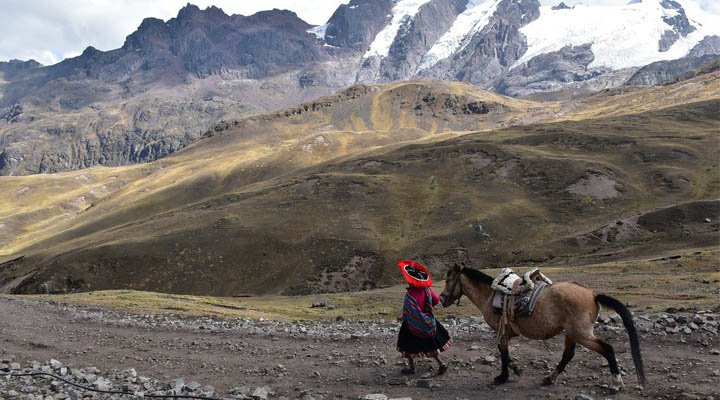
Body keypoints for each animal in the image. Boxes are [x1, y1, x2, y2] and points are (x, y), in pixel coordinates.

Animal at [438, 264, 648, 392]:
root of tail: (593, 294)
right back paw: (550, 378)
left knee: (607, 349)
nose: (441, 299)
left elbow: (503, 352)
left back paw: (616, 383)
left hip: (581, 334)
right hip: (571, 333)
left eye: (448, 279)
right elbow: (505, 353)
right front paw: (516, 370)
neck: (489, 295)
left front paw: (503, 376)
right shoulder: (506, 333)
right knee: (568, 354)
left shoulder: (501, 331)